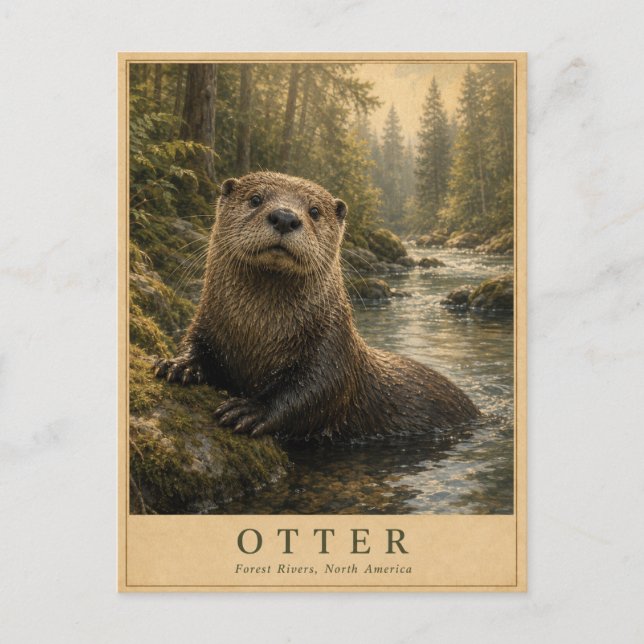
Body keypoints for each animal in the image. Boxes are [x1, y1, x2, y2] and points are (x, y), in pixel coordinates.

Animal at [155, 171, 479, 440]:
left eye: (314, 211)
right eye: (255, 199)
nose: (285, 217)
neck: (257, 334)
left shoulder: (332, 352)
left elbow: (314, 393)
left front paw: (251, 410)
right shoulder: (205, 322)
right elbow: (195, 344)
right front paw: (178, 365)